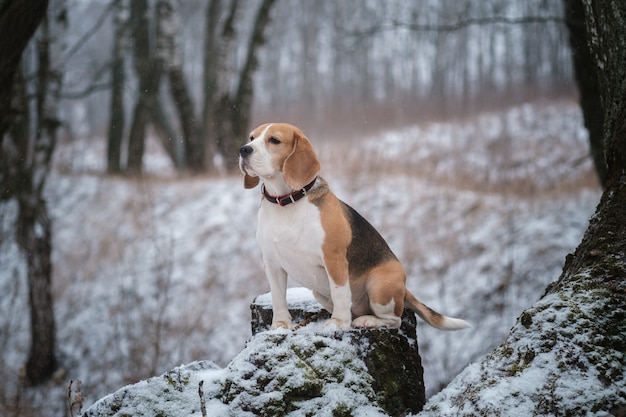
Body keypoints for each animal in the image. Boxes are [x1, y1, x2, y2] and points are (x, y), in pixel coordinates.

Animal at [239, 122, 468, 330]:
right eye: (251, 137)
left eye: (274, 140)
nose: (243, 149)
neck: (286, 202)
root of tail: (404, 287)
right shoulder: (272, 263)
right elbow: (278, 297)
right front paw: (280, 325)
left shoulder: (334, 258)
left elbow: (340, 292)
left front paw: (338, 323)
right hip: (318, 292)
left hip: (380, 286)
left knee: (394, 320)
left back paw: (366, 320)